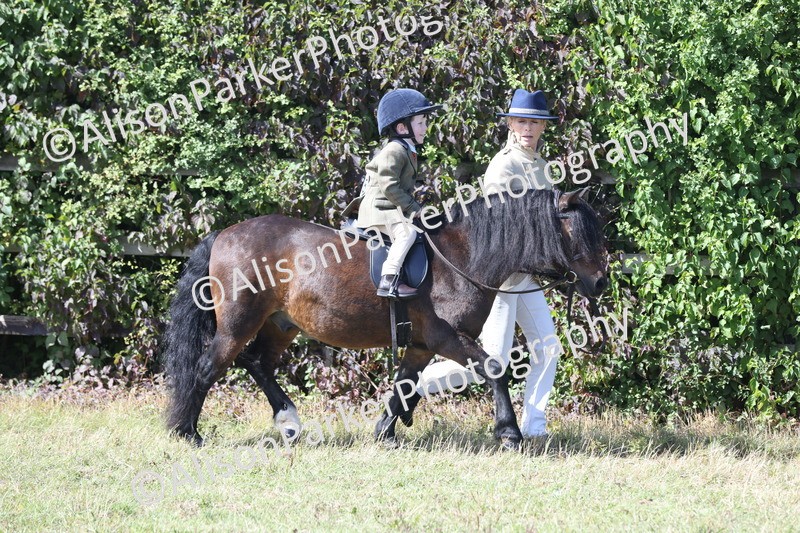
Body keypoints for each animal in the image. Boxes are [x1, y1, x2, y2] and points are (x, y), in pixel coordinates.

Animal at [161, 187, 609, 449]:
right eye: (580, 234)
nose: (601, 282)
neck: (463, 255)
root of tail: (223, 234)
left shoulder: (422, 344)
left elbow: (405, 385)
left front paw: (385, 432)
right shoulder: (448, 338)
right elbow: (495, 369)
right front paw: (509, 433)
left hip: (279, 325)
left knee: (258, 364)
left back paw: (288, 422)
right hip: (238, 325)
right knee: (206, 368)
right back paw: (188, 432)